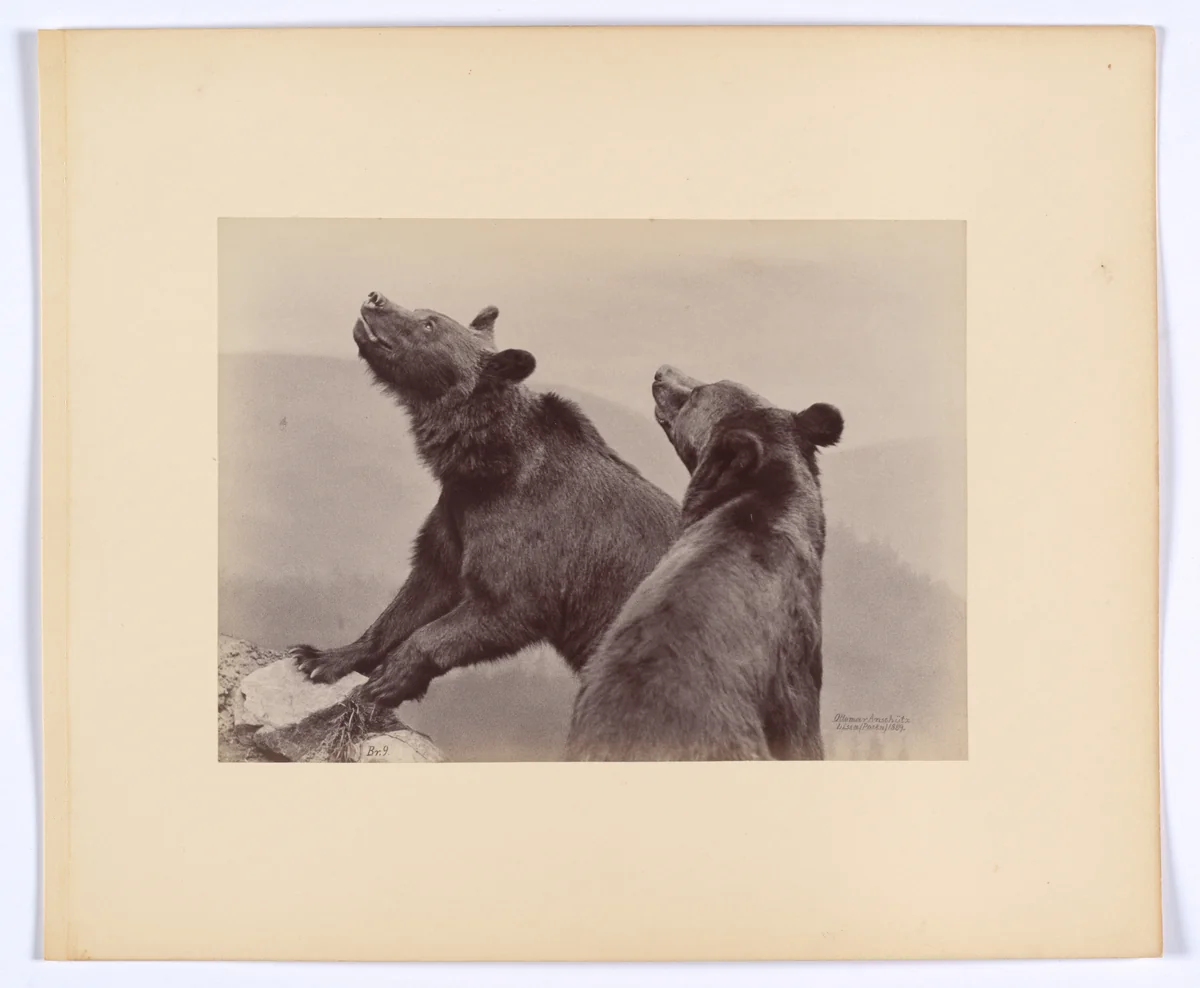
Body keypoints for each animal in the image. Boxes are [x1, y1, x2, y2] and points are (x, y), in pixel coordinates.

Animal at [289, 291, 681, 709]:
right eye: (423, 311)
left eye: (429, 324)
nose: (376, 298)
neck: (486, 464)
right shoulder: (456, 515)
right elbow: (424, 587)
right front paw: (320, 658)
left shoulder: (534, 533)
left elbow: (504, 604)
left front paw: (390, 678)